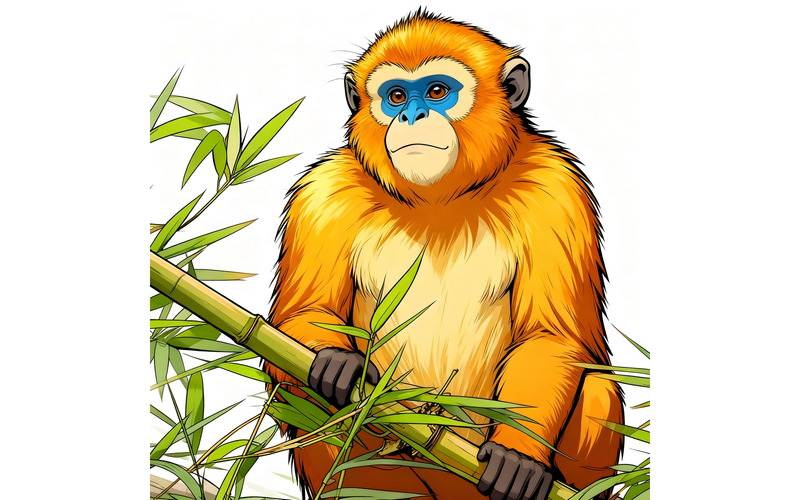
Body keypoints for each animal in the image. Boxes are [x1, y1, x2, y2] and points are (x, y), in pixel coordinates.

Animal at [266, 10, 624, 500]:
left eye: (437, 91)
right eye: (396, 96)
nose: (412, 115)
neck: (440, 204)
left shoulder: (557, 189)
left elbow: (553, 338)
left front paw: (518, 455)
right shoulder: (323, 193)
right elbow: (297, 319)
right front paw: (340, 362)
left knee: (598, 383)